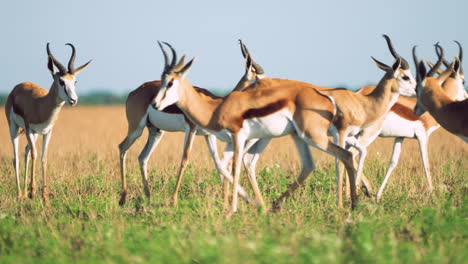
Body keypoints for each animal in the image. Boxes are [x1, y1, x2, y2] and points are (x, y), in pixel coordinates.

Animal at [5, 42, 91, 202]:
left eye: (75, 81)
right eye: (61, 81)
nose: (73, 100)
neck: (41, 105)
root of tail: (17, 87)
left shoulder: (47, 132)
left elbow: (43, 157)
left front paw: (44, 196)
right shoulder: (29, 129)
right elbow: (35, 154)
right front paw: (33, 192)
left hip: (34, 134)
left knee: (25, 152)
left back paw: (24, 194)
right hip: (15, 128)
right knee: (16, 158)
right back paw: (20, 194)